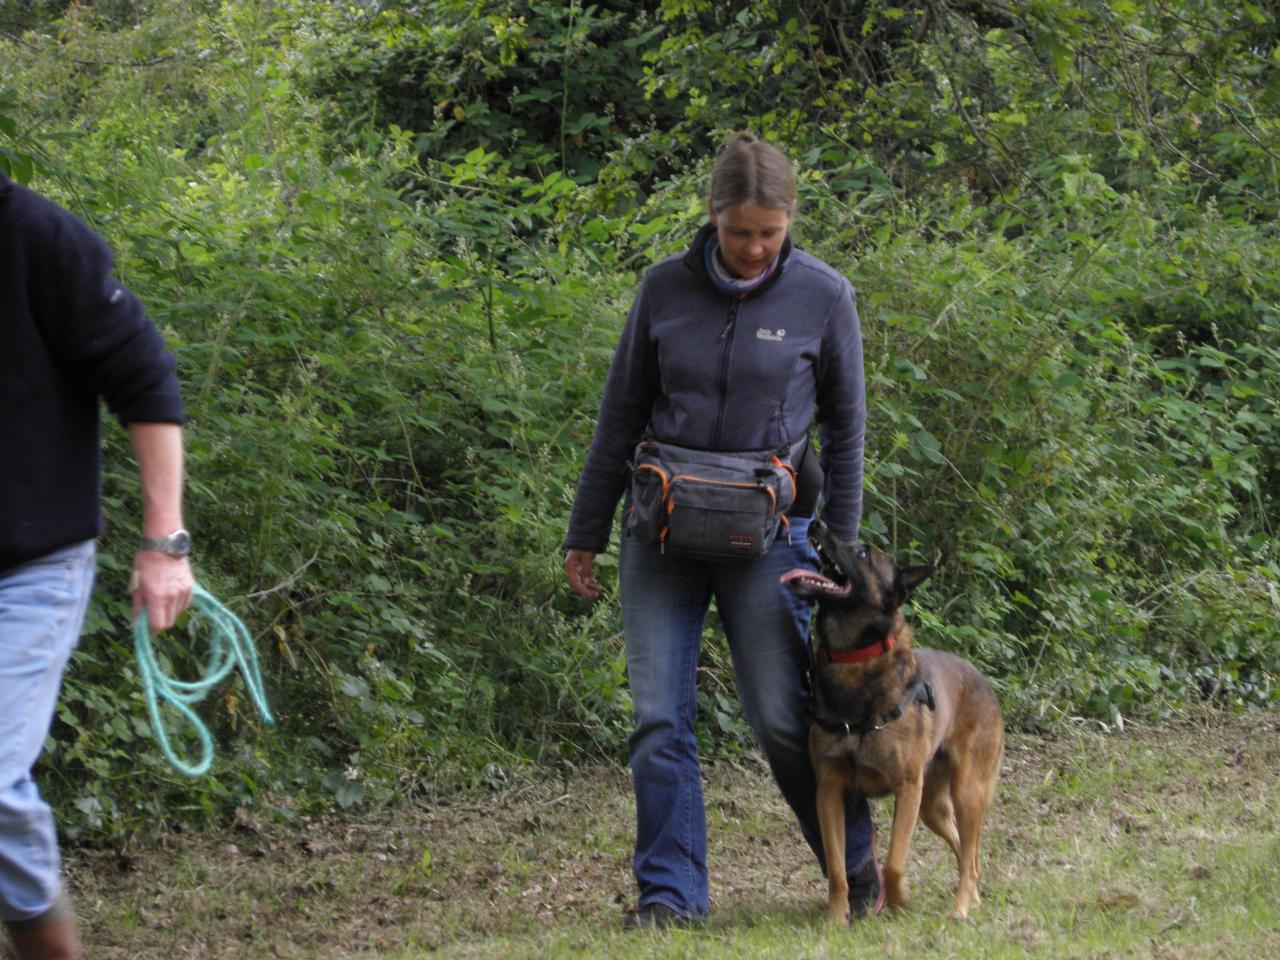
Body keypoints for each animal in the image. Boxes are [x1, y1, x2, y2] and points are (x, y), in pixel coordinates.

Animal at [773, 527, 1003, 926]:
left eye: (863, 553)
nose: (816, 525)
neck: (853, 660)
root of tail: (984, 682)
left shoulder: (907, 790)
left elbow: (894, 864)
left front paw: (898, 902)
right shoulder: (828, 793)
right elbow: (837, 869)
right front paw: (836, 918)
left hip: (965, 792)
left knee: (968, 854)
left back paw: (959, 907)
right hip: (933, 808)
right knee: (967, 852)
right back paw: (971, 897)